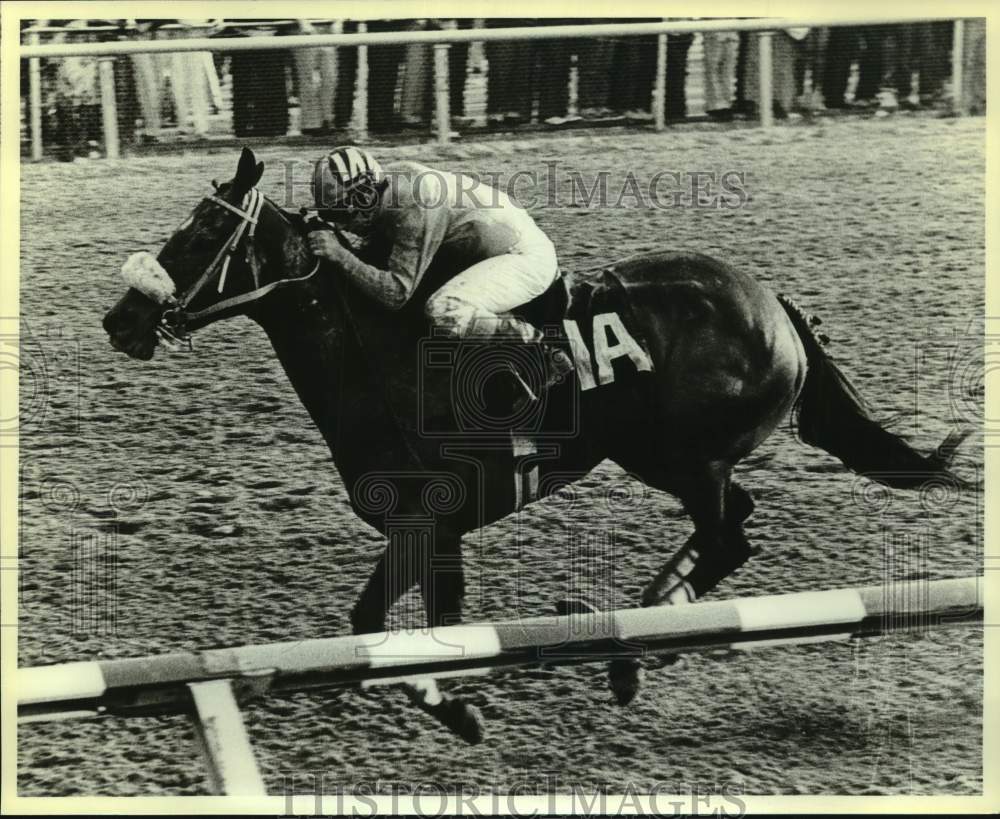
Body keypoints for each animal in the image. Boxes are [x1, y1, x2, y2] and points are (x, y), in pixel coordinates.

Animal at [101, 147, 968, 744]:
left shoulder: (437, 520)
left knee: (728, 536)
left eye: (205, 231)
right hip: (678, 457)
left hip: (685, 456)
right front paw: (453, 705)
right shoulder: (416, 525)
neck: (380, 360)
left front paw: (458, 707)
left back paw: (634, 645)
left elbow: (427, 632)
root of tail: (775, 304)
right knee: (732, 530)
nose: (121, 319)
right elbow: (369, 623)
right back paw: (638, 640)